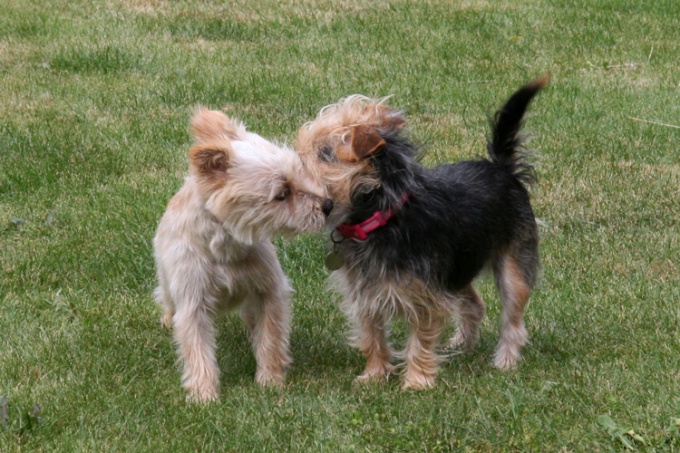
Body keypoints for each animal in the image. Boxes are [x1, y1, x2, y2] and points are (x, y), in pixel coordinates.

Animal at [155, 108, 334, 400]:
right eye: (282, 194)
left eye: (300, 173)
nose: (328, 205)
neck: (225, 249)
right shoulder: (193, 304)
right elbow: (197, 349)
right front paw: (204, 394)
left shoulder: (269, 291)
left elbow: (271, 336)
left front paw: (270, 379)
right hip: (168, 281)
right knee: (168, 301)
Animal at [294, 78, 544, 388]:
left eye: (324, 154)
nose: (289, 163)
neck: (380, 217)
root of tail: (501, 167)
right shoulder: (364, 291)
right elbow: (372, 335)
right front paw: (374, 375)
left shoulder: (426, 296)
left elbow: (420, 339)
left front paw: (416, 382)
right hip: (455, 269)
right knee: (475, 304)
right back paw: (461, 345)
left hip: (513, 267)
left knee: (513, 320)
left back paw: (506, 361)